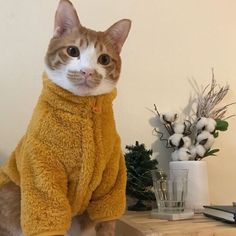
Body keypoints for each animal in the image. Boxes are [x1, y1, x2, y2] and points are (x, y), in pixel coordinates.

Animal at [0, 0, 131, 236]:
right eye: (72, 51)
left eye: (104, 59)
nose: (88, 71)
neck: (85, 111)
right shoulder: (42, 171)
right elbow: (48, 214)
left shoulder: (112, 177)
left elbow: (107, 217)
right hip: (11, 192)